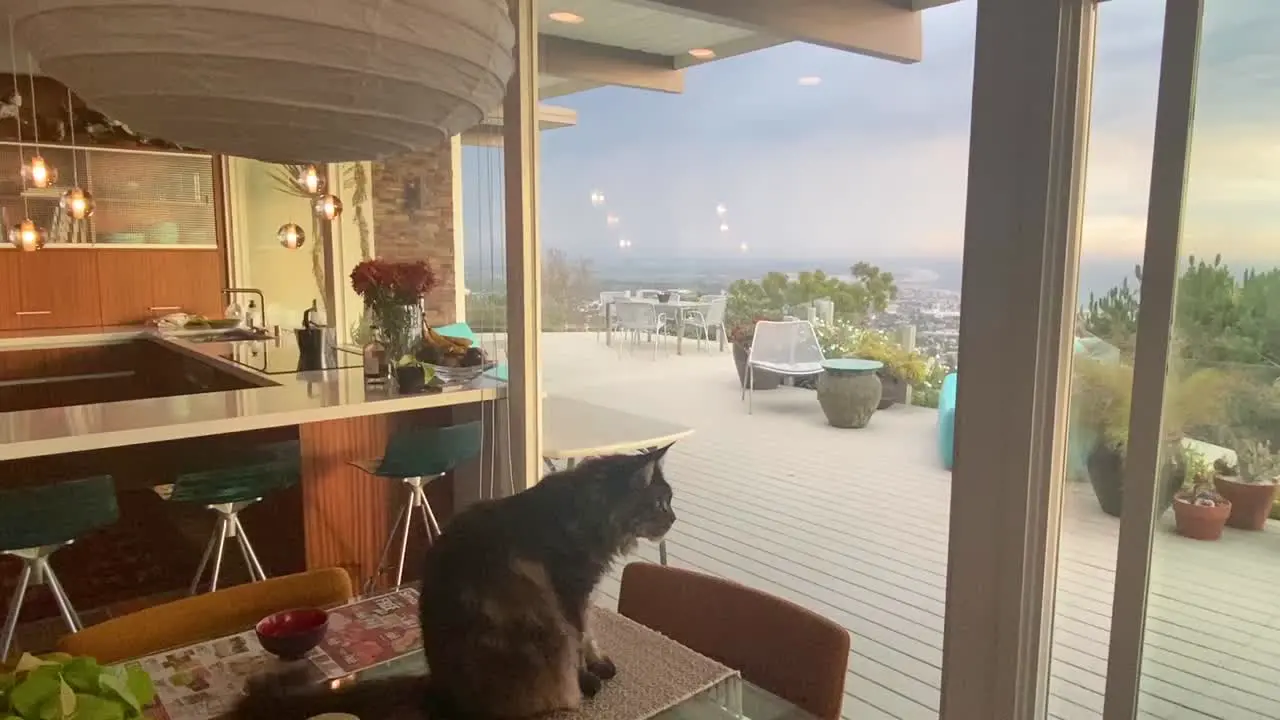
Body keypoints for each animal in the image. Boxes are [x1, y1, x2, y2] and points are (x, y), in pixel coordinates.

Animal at [234, 443, 675, 717]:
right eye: (661, 502)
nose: (674, 519)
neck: (584, 512)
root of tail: (441, 689)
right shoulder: (570, 594)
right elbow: (579, 638)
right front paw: (588, 678)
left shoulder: (583, 594)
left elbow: (591, 634)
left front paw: (600, 663)